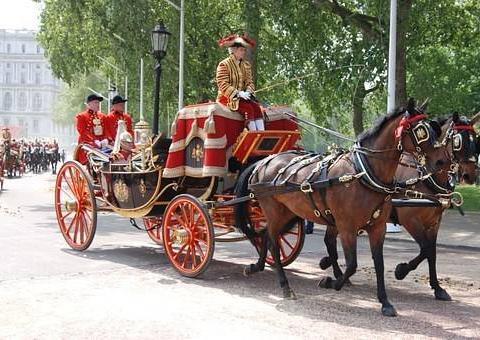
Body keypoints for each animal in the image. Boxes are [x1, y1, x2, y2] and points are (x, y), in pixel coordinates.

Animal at [236, 97, 450, 316]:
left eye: (434, 129)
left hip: (287, 213)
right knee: (272, 240)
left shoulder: (378, 227)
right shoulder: (348, 226)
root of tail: (263, 161)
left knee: (266, 235)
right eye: (421, 131)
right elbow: (352, 264)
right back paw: (285, 285)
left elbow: (380, 263)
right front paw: (331, 281)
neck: (363, 173)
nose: (442, 161)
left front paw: (385, 302)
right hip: (275, 211)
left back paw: (257, 266)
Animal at [318, 110, 480, 302]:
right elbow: (425, 249)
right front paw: (401, 270)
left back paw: (332, 267)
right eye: (458, 140)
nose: (471, 175)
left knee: (329, 240)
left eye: (475, 140)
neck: (424, 176)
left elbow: (432, 253)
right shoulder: (410, 220)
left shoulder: (434, 223)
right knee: (330, 240)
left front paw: (437, 288)